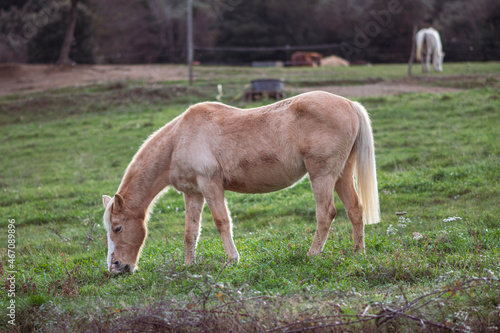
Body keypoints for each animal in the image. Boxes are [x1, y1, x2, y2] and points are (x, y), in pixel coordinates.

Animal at [103, 90, 380, 272]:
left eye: (117, 228)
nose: (116, 266)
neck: (179, 140)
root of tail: (349, 104)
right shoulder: (193, 193)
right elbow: (190, 231)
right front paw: (189, 265)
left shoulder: (211, 185)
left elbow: (222, 222)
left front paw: (231, 260)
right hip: (342, 174)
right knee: (355, 210)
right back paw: (358, 253)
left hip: (322, 175)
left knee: (326, 213)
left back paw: (312, 255)